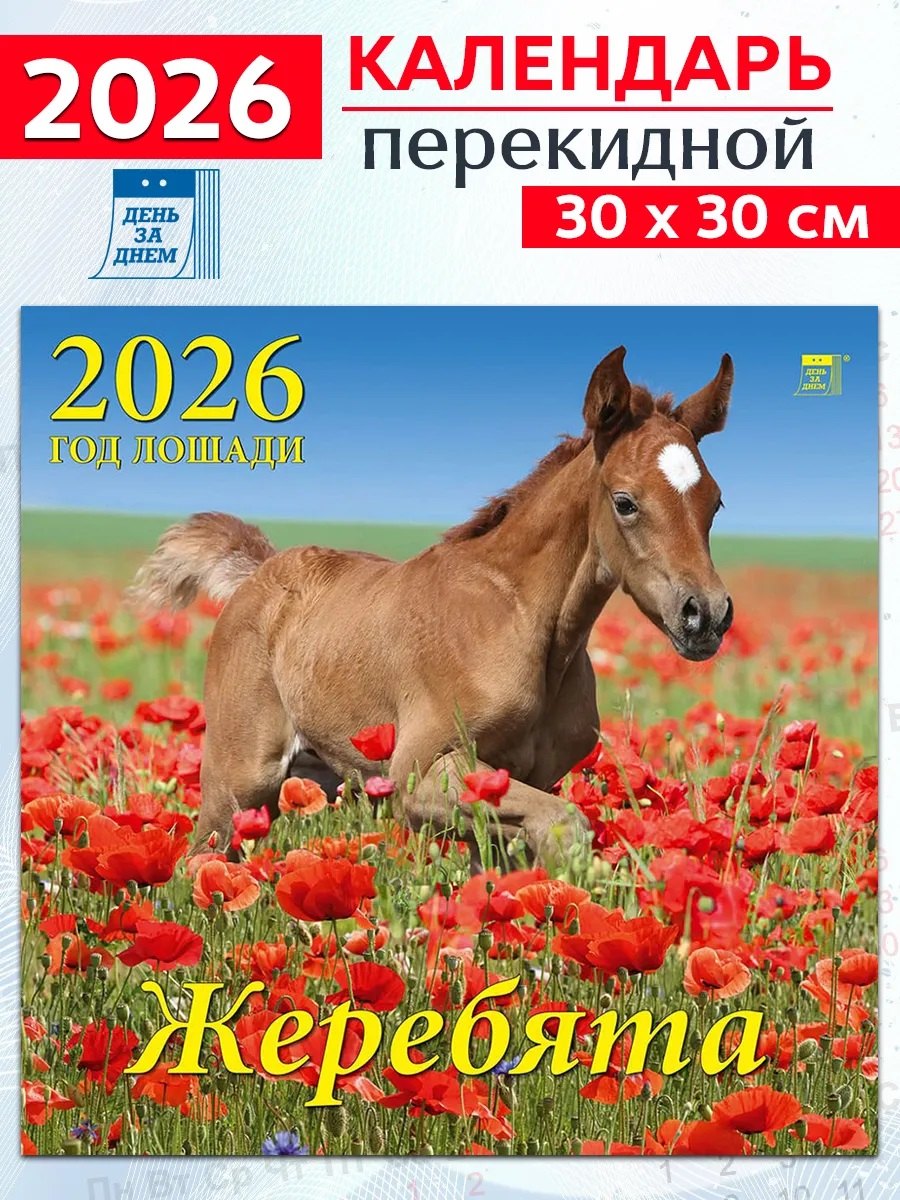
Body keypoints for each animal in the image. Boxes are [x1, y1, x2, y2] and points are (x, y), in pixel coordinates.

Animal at [128, 346, 734, 866]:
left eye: (716, 501)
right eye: (625, 502)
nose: (704, 615)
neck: (520, 621)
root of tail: (257, 573)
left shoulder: (518, 781)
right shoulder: (420, 774)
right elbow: (565, 825)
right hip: (239, 784)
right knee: (198, 864)